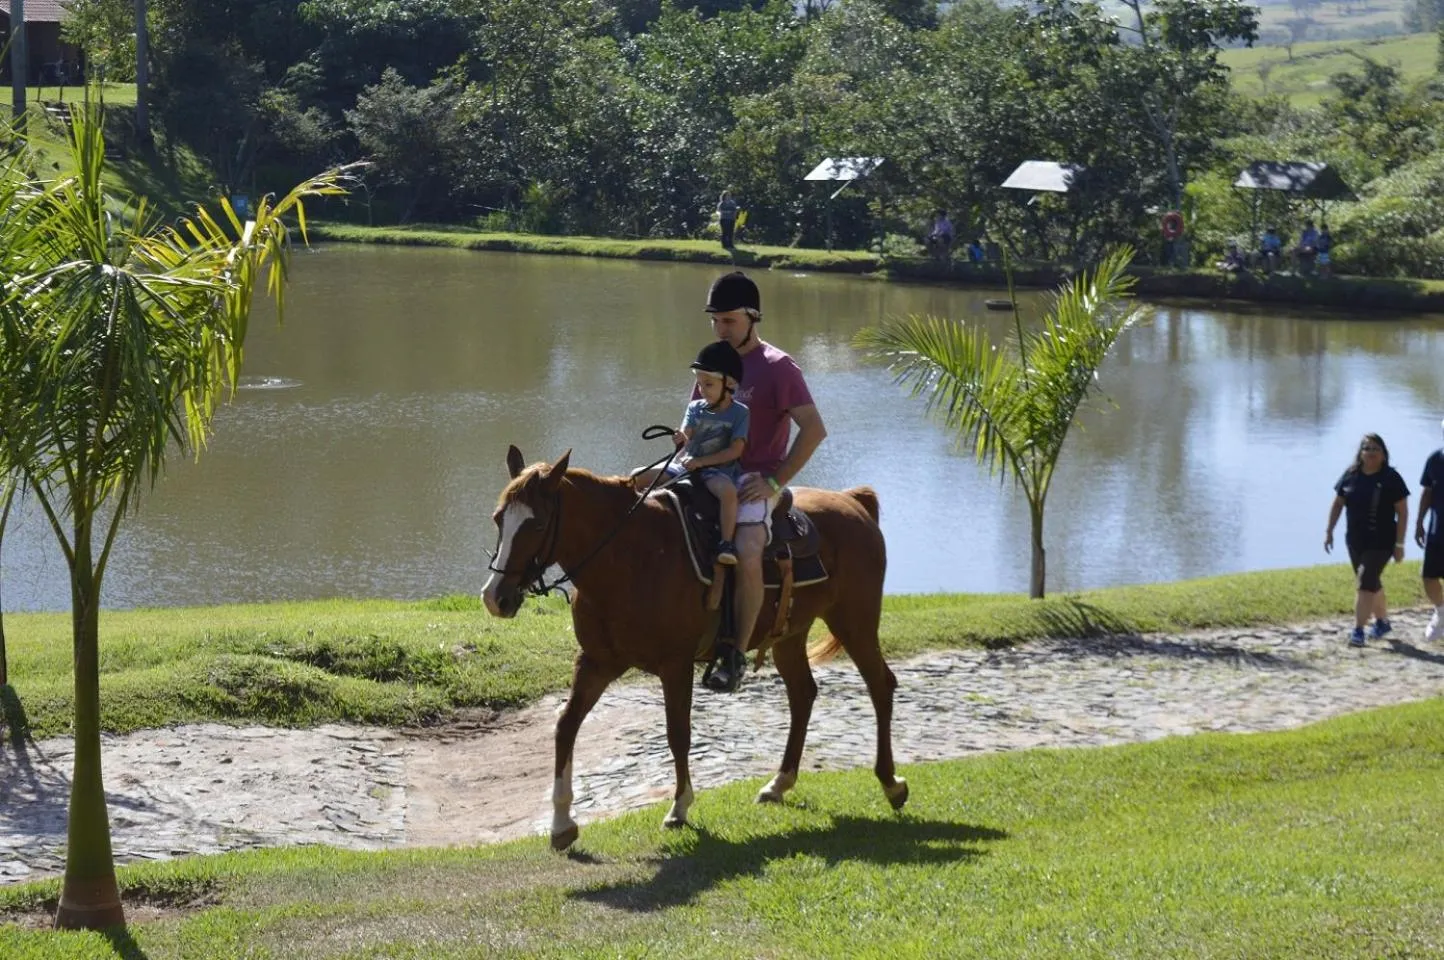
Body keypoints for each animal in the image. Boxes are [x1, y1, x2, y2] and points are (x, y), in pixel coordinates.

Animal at [481, 445, 907, 851]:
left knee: (880, 685)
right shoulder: (596, 662)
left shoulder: (676, 664)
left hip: (855, 621)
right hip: (790, 635)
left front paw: (680, 807)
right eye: (498, 519)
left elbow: (678, 732)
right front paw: (561, 824)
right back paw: (779, 783)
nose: (495, 597)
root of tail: (853, 501)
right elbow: (565, 726)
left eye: (536, 523)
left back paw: (891, 783)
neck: (630, 558)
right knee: (803, 694)